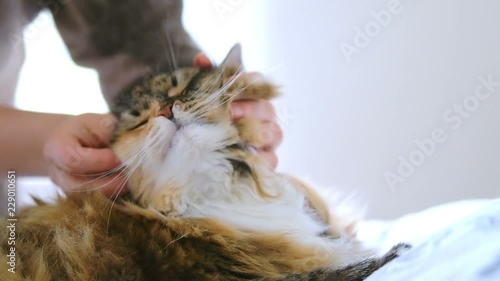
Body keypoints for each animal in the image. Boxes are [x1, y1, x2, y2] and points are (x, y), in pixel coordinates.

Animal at [0, 44, 408, 278]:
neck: (219, 191)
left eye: (182, 88)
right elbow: (353, 265)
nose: (166, 109)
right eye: (138, 119)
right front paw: (394, 251)